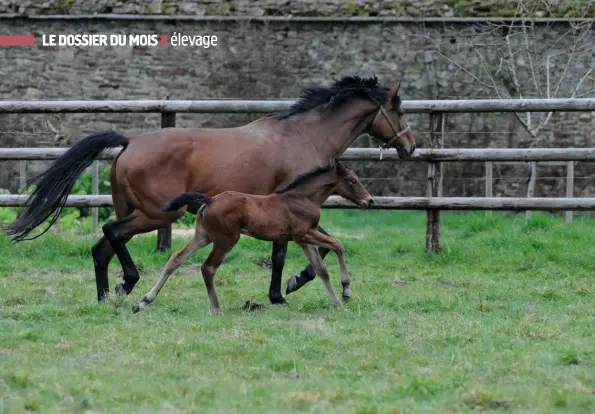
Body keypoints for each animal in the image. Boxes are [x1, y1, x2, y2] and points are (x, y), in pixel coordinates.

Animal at [133, 158, 372, 314]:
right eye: (352, 180)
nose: (369, 200)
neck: (302, 198)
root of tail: (210, 200)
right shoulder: (305, 233)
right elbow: (338, 245)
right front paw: (346, 291)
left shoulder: (302, 239)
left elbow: (321, 269)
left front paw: (336, 302)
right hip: (227, 239)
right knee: (208, 268)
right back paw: (216, 309)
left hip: (203, 236)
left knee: (175, 259)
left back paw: (143, 301)